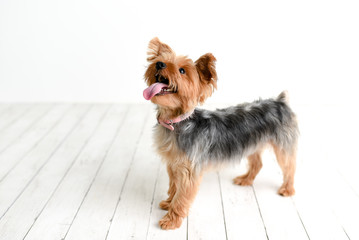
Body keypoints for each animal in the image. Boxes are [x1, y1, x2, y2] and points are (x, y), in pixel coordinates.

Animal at [142, 37, 300, 229]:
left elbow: (182, 195)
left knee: (289, 166)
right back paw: (246, 179)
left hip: (283, 143)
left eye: (182, 70)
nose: (159, 64)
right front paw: (168, 203)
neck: (177, 121)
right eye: (161, 60)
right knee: (257, 163)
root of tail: (280, 101)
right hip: (253, 143)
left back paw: (287, 189)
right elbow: (174, 186)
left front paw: (171, 220)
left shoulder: (189, 170)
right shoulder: (173, 165)